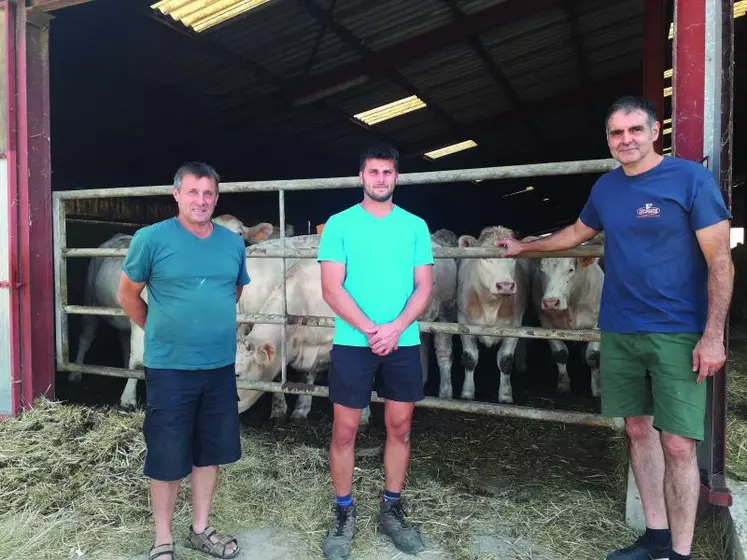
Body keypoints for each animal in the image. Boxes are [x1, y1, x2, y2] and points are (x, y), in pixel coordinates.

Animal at [456, 225, 532, 404]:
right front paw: (467, 392)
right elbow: (470, 358)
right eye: (484, 257)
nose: (505, 285)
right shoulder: (463, 322)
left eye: (513, 258)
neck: (491, 305)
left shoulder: (515, 324)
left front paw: (505, 394)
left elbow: (505, 360)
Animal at [536, 236, 604, 398]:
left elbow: (593, 356)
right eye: (542, 270)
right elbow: (560, 354)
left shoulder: (598, 325)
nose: (550, 302)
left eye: (570, 270)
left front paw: (597, 388)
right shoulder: (546, 323)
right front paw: (563, 385)